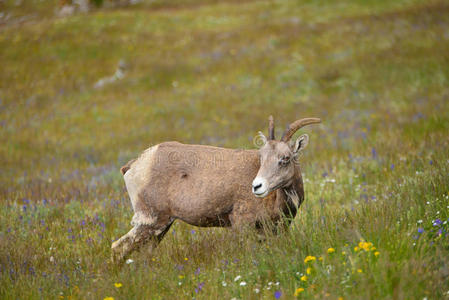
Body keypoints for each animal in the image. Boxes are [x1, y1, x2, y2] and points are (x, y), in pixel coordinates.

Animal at [112, 116, 322, 262]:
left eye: (285, 158)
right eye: (261, 157)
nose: (257, 187)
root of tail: (135, 165)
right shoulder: (243, 227)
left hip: (159, 228)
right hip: (150, 223)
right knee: (118, 248)